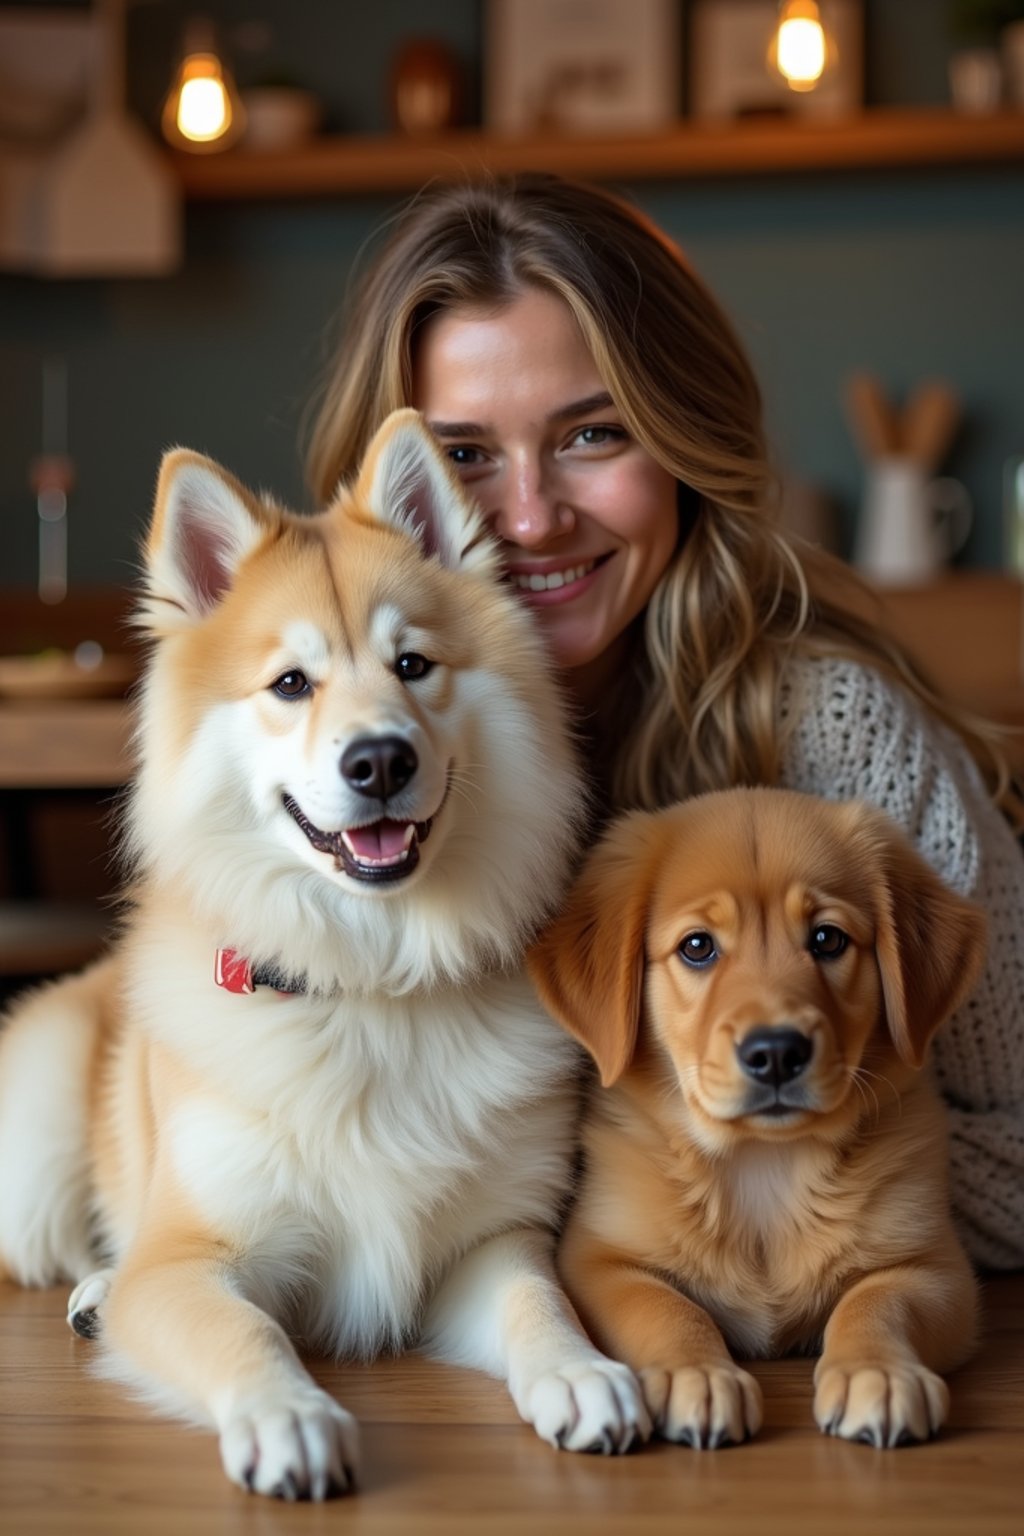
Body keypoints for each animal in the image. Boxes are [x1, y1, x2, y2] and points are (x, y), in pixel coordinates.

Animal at [528, 792, 982, 1449]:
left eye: (827, 939)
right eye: (697, 947)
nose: (776, 1053)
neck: (763, 1163)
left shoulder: (935, 1268)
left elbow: (878, 1302)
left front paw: (879, 1373)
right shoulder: (598, 1260)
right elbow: (664, 1307)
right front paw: (698, 1374)